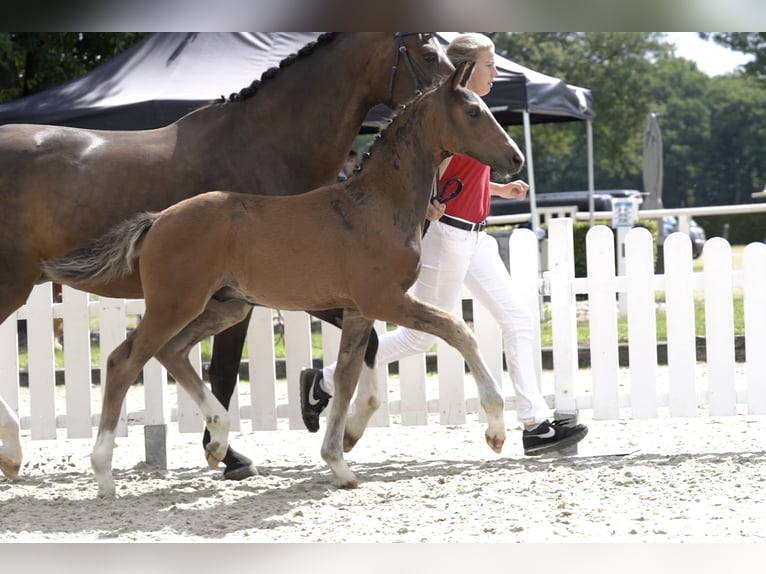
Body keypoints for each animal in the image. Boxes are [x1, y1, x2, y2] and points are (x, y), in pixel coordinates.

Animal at [45, 60, 528, 498]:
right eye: (473, 111)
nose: (516, 158)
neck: (375, 204)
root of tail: (158, 219)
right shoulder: (384, 300)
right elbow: (458, 330)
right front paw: (496, 430)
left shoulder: (358, 312)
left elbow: (351, 381)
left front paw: (340, 460)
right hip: (175, 303)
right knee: (123, 361)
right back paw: (105, 474)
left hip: (226, 306)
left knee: (171, 351)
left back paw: (219, 439)